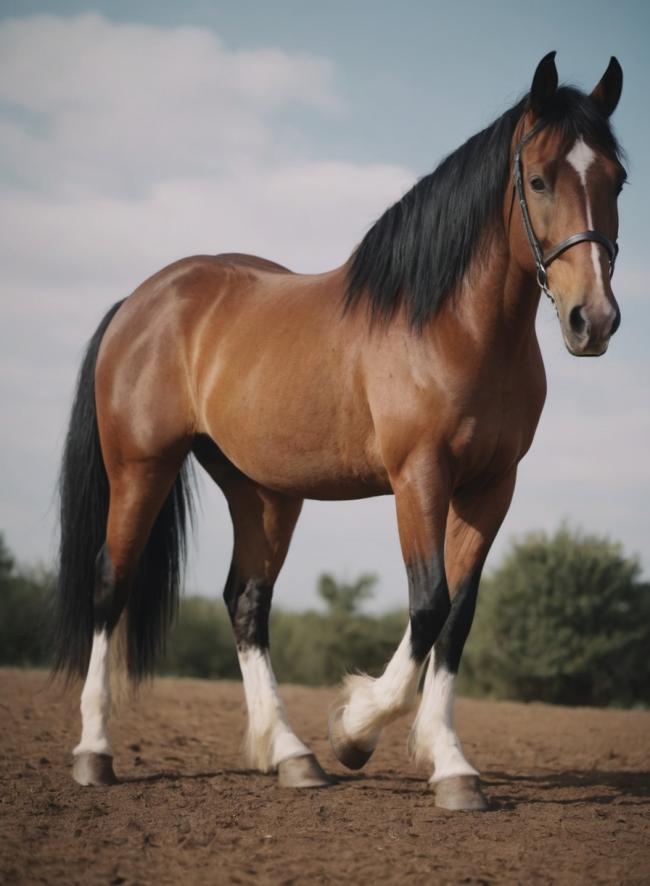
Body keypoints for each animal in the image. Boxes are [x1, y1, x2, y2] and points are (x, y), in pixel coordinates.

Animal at [53, 52, 626, 811]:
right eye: (537, 178)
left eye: (617, 179)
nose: (594, 319)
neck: (450, 324)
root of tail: (142, 301)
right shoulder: (419, 476)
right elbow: (429, 605)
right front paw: (355, 731)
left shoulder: (492, 485)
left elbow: (460, 615)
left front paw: (450, 764)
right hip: (141, 466)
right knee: (109, 586)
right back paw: (94, 751)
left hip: (262, 492)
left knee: (246, 603)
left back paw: (290, 754)